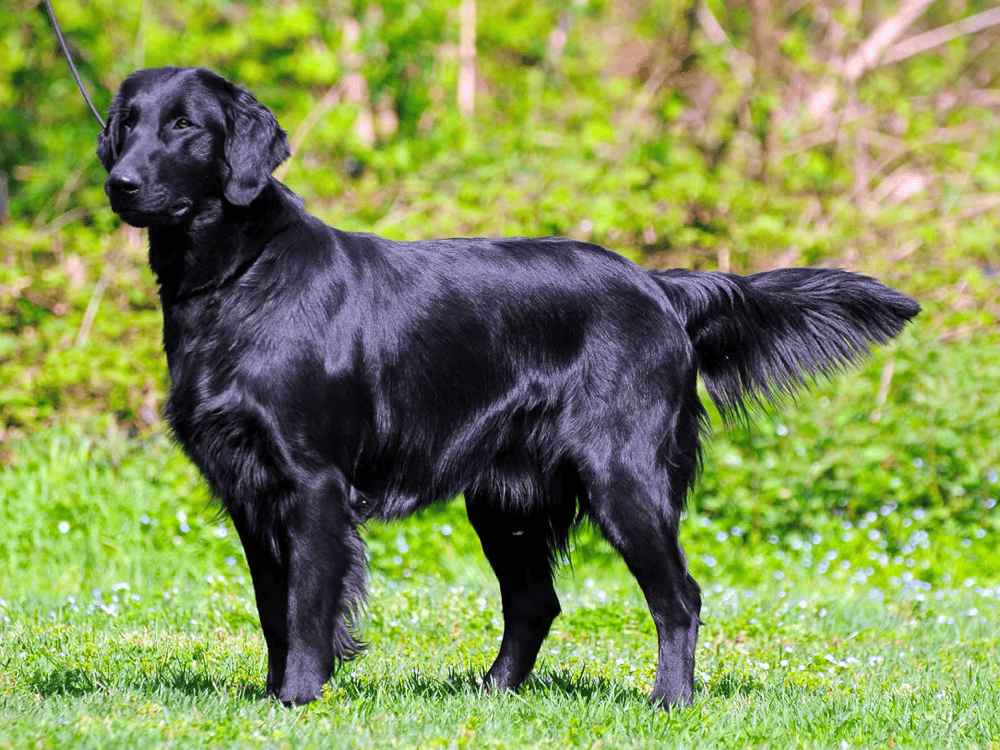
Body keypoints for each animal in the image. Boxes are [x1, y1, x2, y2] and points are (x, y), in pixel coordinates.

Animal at [97, 66, 916, 712]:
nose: (119, 182)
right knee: (535, 601)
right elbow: (274, 606)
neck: (238, 278)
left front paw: (298, 698)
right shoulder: (248, 488)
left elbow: (305, 606)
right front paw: (272, 696)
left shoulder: (312, 482)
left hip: (622, 476)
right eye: (126, 122)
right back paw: (492, 694)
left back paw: (669, 701)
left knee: (678, 597)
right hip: (505, 499)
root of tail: (658, 286)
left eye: (184, 126)